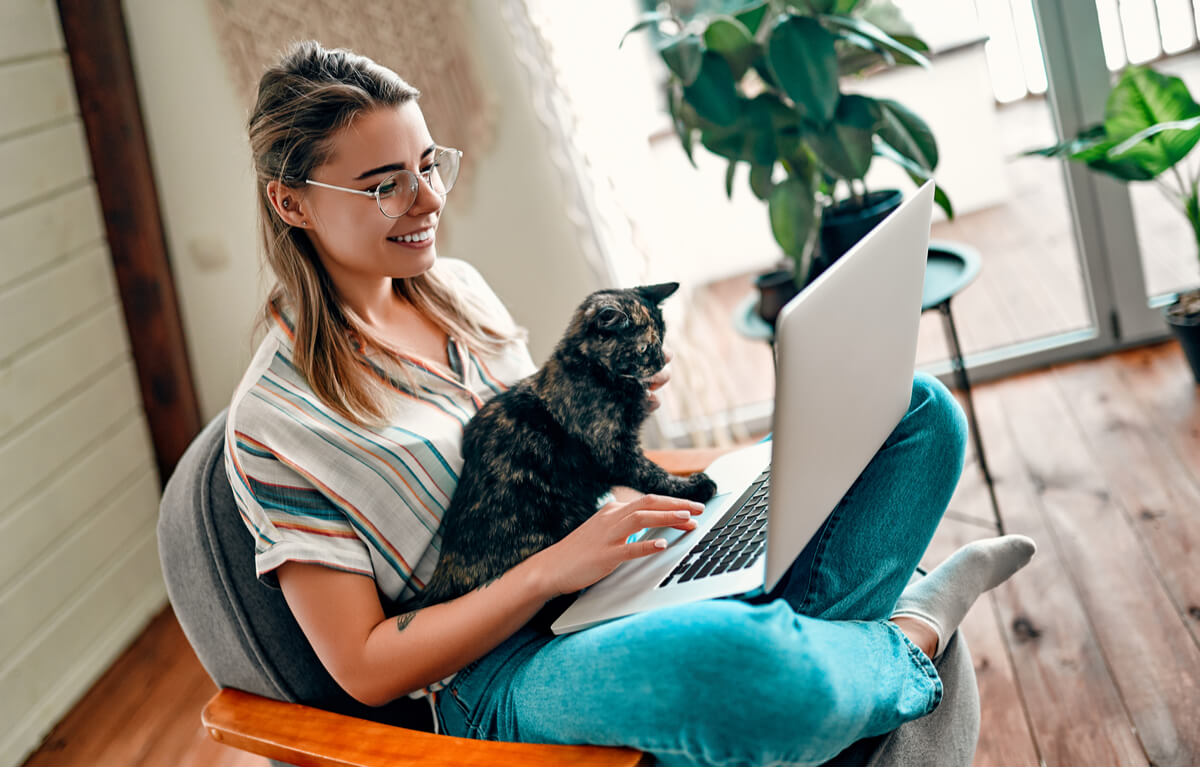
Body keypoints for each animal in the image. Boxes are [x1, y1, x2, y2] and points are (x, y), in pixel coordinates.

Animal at [420, 282, 715, 612]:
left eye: (662, 339)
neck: (589, 370)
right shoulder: (613, 451)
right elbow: (653, 474)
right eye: (644, 349)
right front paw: (693, 488)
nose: (662, 360)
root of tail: (444, 570)